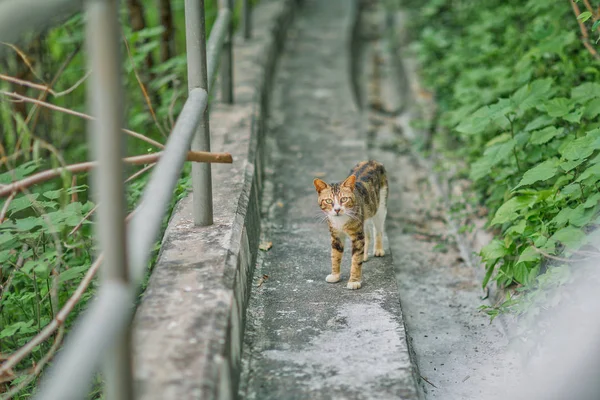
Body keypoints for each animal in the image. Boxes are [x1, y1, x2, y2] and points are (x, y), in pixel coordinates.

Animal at [314, 160, 390, 290]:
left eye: (344, 199)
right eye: (328, 201)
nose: (337, 209)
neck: (340, 221)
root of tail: (372, 161)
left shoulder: (357, 235)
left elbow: (355, 260)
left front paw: (354, 281)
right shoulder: (336, 235)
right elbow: (335, 255)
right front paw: (335, 275)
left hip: (380, 205)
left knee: (378, 228)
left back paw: (378, 249)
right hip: (364, 215)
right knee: (367, 233)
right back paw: (364, 255)